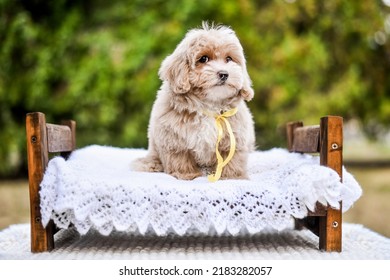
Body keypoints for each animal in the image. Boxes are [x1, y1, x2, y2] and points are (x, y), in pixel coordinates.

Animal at [133, 21, 258, 179]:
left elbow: (232, 158)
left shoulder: (235, 136)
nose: (224, 73)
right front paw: (186, 174)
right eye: (203, 59)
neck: (209, 105)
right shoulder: (173, 138)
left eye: (229, 59)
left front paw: (232, 176)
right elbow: (179, 157)